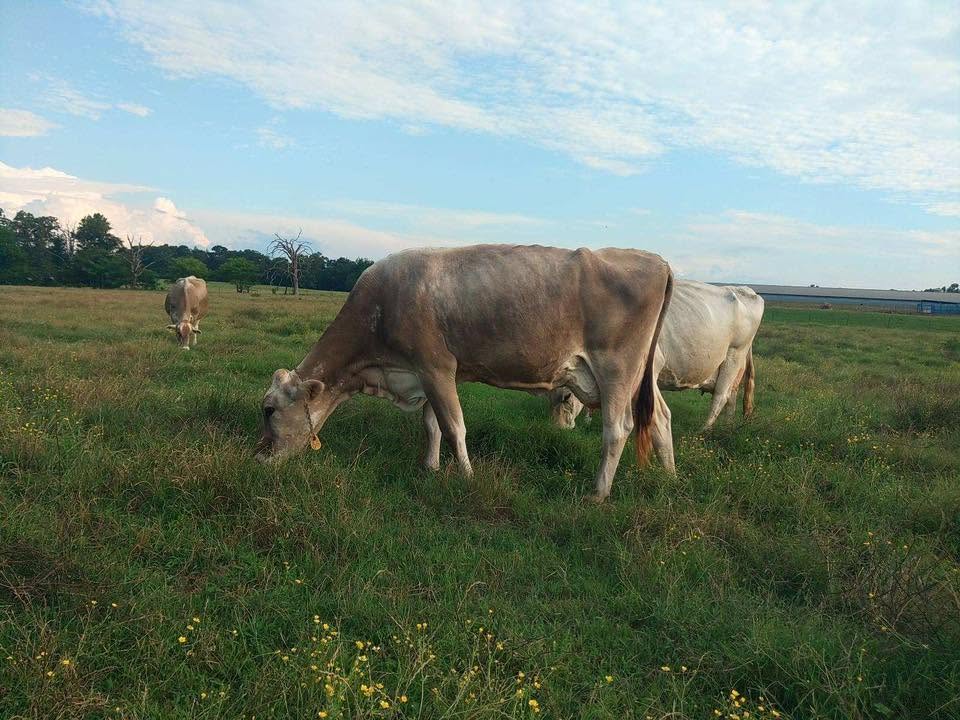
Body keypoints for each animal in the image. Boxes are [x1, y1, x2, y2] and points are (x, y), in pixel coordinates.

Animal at [255, 244, 673, 501]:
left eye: (269, 410)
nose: (258, 457)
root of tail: (658, 261)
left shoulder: (435, 364)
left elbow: (454, 427)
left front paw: (467, 477)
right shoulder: (427, 373)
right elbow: (432, 424)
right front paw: (430, 467)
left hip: (616, 368)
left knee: (617, 429)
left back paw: (597, 494)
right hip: (640, 375)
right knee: (661, 418)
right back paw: (669, 478)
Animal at [550, 279, 764, 473]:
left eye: (566, 398)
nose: (559, 430)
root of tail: (745, 290)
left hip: (734, 356)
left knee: (720, 397)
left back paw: (701, 433)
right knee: (731, 398)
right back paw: (727, 428)